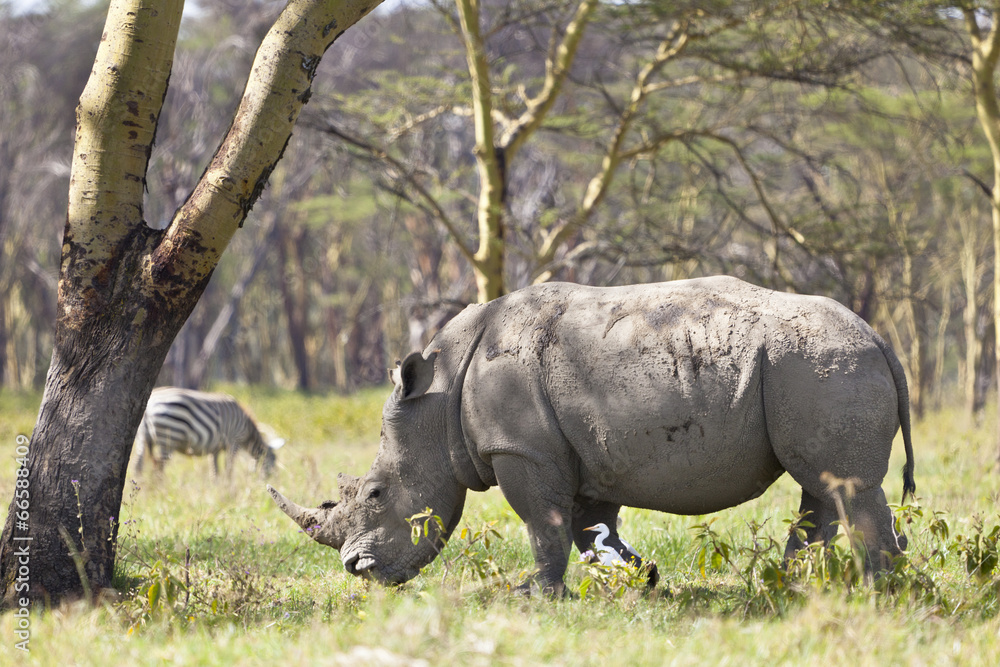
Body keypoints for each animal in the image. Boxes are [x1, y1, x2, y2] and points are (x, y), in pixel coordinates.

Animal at [269, 276, 915, 593]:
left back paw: (878, 592)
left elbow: (543, 524)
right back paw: (799, 584)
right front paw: (643, 578)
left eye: (376, 494)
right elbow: (590, 528)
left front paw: (533, 595)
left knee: (845, 486)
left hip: (819, 363)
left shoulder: (520, 448)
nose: (358, 573)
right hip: (810, 366)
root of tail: (880, 338)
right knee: (822, 487)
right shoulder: (578, 451)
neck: (438, 394)